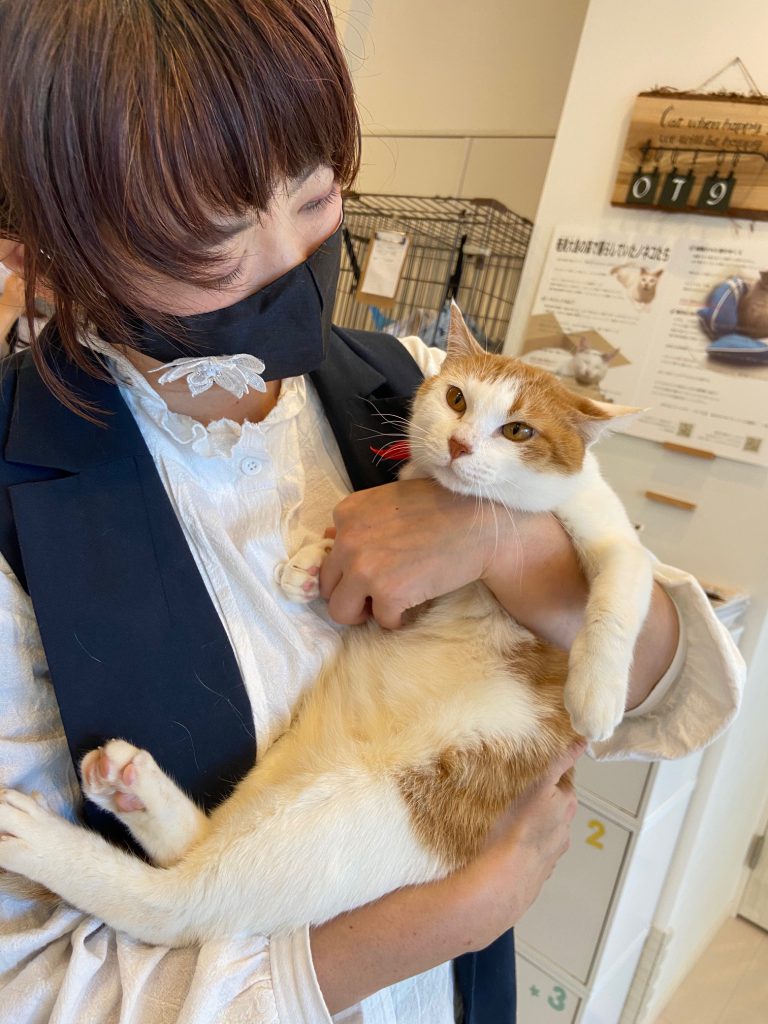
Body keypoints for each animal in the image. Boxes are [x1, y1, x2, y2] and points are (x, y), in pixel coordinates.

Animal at [0, 303, 651, 942]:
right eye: (457, 399)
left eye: (518, 430)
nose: (461, 444)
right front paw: (311, 565)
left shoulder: (613, 537)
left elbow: (623, 589)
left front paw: (597, 695)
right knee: (192, 867)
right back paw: (123, 792)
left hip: (376, 816)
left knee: (180, 903)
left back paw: (71, 819)